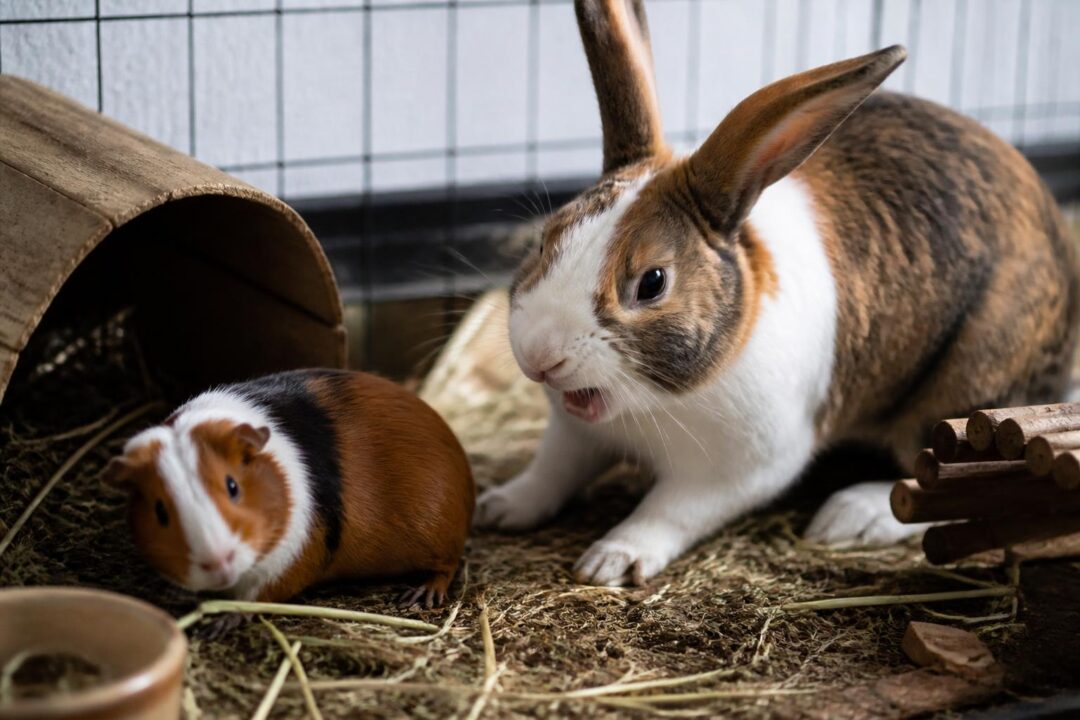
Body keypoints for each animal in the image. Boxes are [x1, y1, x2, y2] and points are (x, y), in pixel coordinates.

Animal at [475, 0, 1079, 586]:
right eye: (548, 237)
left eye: (652, 282)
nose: (539, 356)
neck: (650, 403)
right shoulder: (575, 435)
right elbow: (551, 471)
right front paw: (498, 507)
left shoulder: (738, 470)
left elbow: (669, 510)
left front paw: (612, 560)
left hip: (959, 392)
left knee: (934, 476)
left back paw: (853, 516)